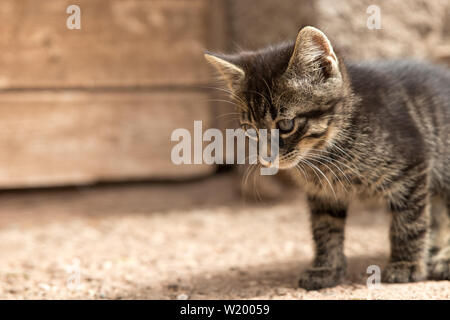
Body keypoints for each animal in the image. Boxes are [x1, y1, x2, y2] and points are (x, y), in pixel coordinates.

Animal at [206, 25, 450, 290]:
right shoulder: (322, 194)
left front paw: (405, 265)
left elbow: (409, 222)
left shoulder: (413, 166)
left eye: (286, 125)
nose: (266, 158)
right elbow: (325, 229)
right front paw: (326, 268)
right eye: (250, 129)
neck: (327, 152)